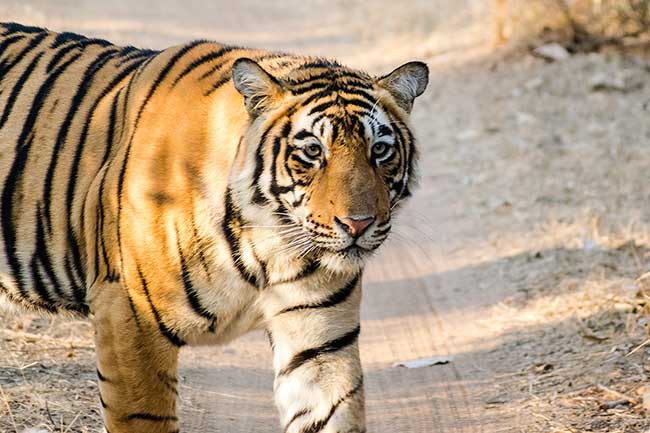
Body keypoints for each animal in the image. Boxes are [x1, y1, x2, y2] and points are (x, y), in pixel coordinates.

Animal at [0, 22, 428, 432]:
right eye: (312, 151)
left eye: (380, 150)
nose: (358, 224)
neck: (269, 245)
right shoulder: (129, 317)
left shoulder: (319, 342)